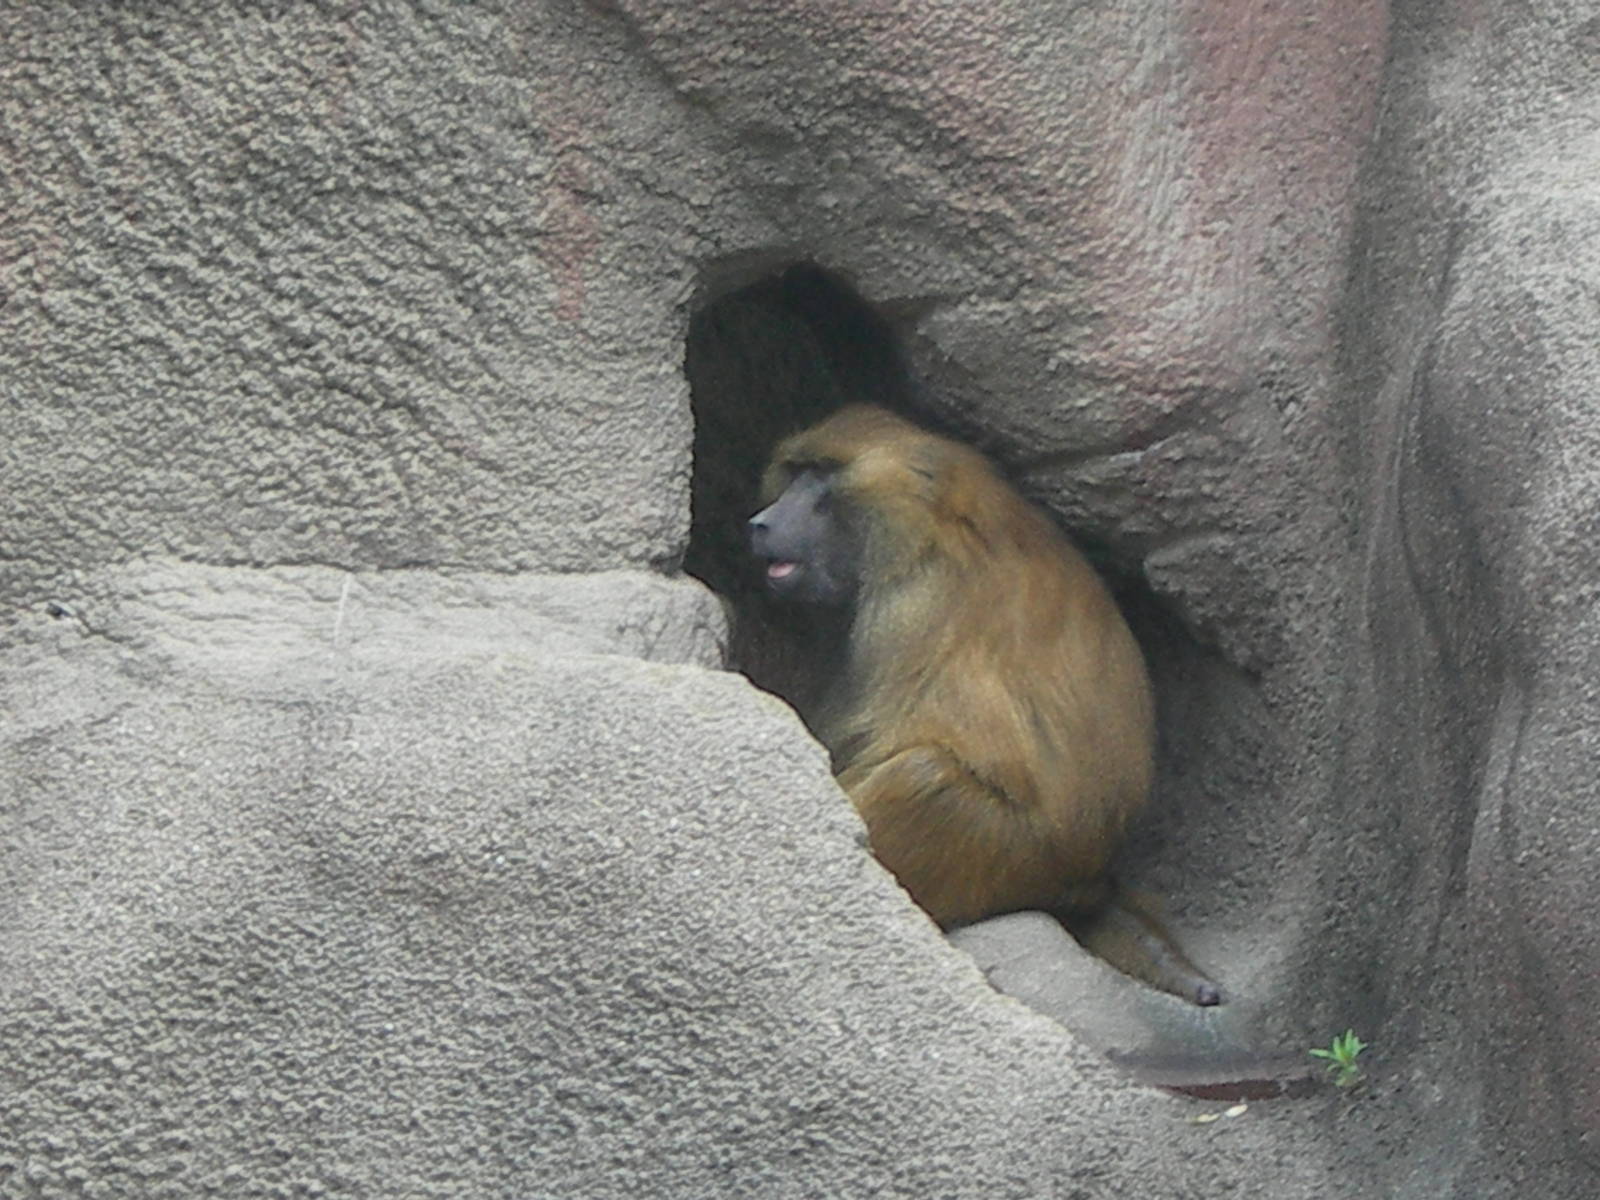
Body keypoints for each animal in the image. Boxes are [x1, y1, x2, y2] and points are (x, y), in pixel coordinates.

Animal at [748, 405, 1222, 1006]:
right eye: (795, 471)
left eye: (822, 477)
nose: (761, 524)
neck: (935, 524)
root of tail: (1090, 877)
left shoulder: (908, 605)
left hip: (1005, 858)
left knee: (925, 776)